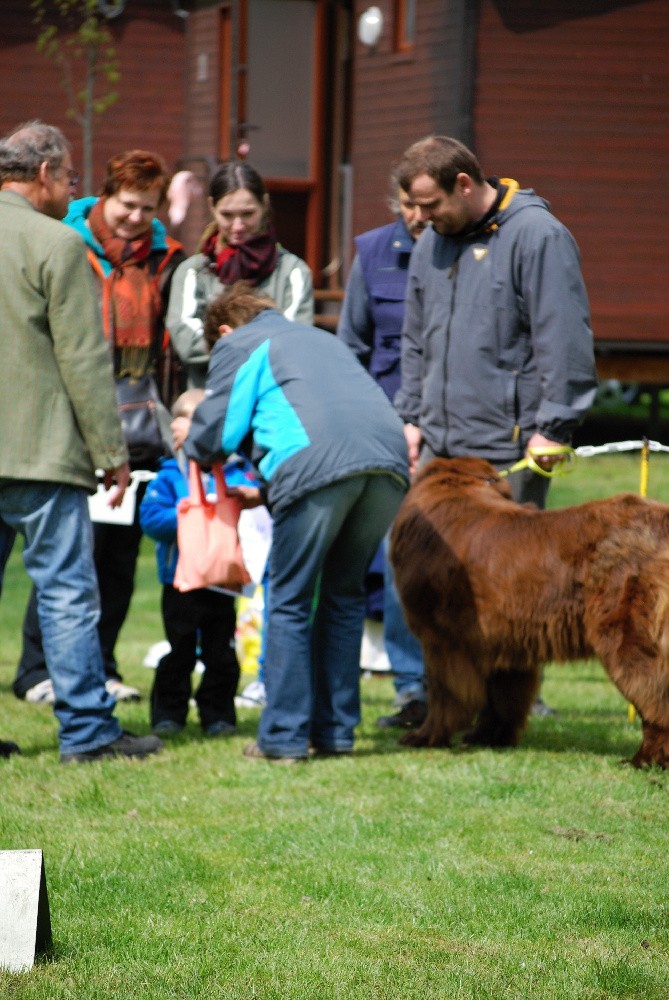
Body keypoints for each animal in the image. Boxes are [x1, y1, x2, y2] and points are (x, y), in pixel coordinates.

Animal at [389, 456, 669, 769]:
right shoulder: (503, 639)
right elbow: (502, 698)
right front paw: (487, 738)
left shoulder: (441, 641)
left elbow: (443, 694)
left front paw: (425, 737)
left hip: (625, 633)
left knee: (654, 695)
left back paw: (644, 760)